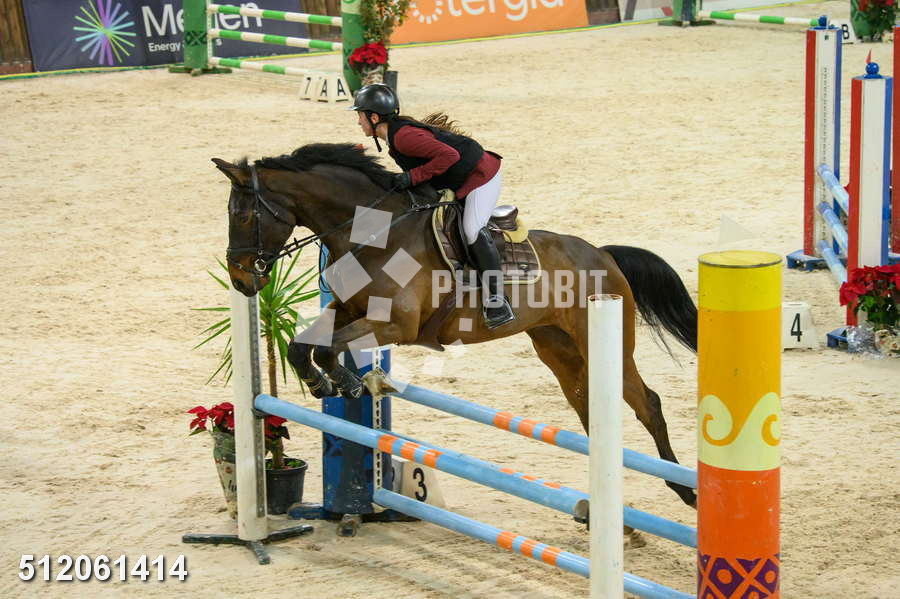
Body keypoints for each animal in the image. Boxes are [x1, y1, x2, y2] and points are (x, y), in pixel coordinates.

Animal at [216, 142, 699, 507]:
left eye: (242, 215)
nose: (240, 280)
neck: (374, 235)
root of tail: (603, 254)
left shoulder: (395, 326)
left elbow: (325, 347)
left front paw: (347, 383)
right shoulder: (349, 309)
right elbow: (304, 346)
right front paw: (328, 384)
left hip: (606, 343)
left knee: (647, 403)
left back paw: (685, 491)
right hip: (558, 349)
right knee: (589, 410)